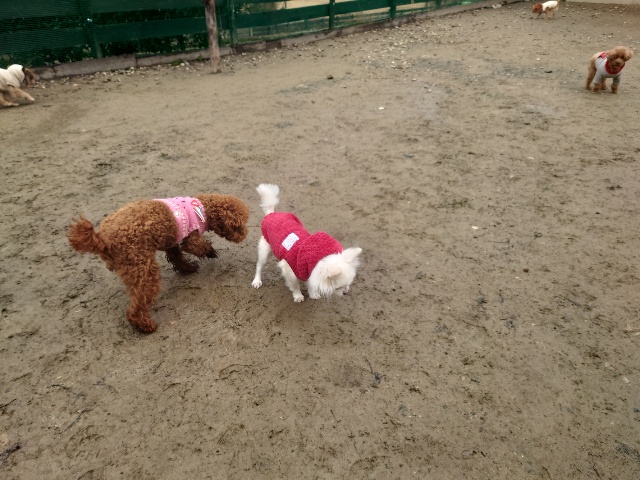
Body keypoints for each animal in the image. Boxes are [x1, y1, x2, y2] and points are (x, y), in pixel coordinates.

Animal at [68, 194, 250, 333]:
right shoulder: (190, 237)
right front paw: (210, 252)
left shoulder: (172, 241)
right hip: (142, 266)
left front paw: (188, 268)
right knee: (138, 304)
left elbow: (177, 257)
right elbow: (198, 247)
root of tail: (101, 239)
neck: (202, 208)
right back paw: (145, 326)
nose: (245, 235)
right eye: (238, 226)